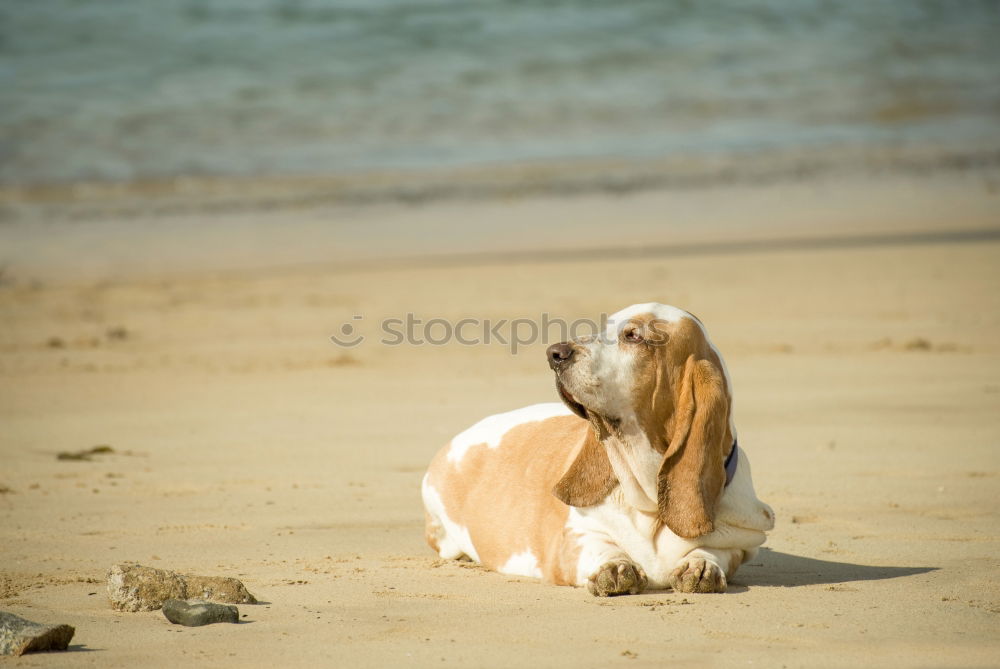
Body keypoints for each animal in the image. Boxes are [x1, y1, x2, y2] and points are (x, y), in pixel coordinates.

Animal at [422, 304, 772, 596]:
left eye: (634, 335)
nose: (555, 353)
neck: (649, 503)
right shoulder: (574, 540)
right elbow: (599, 546)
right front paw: (614, 566)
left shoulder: (741, 543)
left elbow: (714, 551)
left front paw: (701, 566)